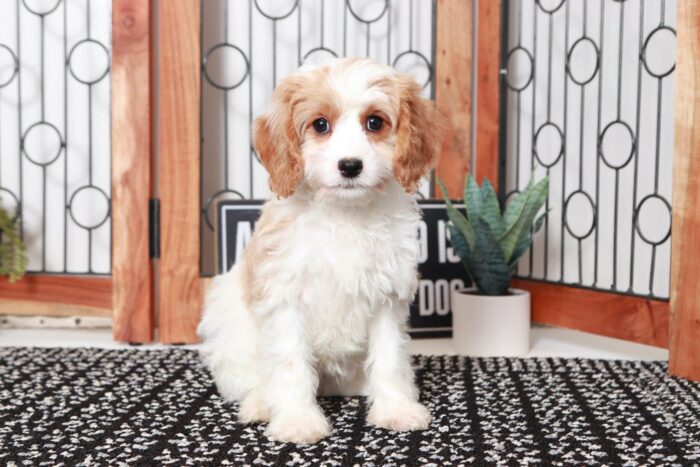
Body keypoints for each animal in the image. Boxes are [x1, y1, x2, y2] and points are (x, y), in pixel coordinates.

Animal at [197, 56, 442, 444]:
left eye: (375, 122)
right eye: (320, 125)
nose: (350, 165)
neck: (344, 214)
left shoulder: (386, 297)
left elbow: (389, 357)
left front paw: (396, 409)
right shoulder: (285, 295)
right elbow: (290, 362)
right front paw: (298, 420)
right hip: (230, 322)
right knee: (249, 378)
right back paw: (261, 404)